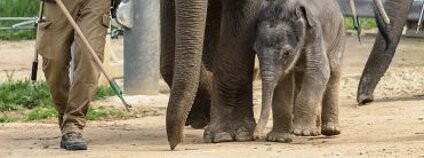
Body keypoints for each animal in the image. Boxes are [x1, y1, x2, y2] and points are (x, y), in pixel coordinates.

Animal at [253, 0, 342, 143]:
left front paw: (301, 132)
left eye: (287, 53)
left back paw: (330, 130)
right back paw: (314, 130)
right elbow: (284, 81)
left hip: (339, 33)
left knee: (334, 70)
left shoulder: (315, 33)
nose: (255, 136)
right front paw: (279, 138)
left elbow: (319, 70)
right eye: (255, 50)